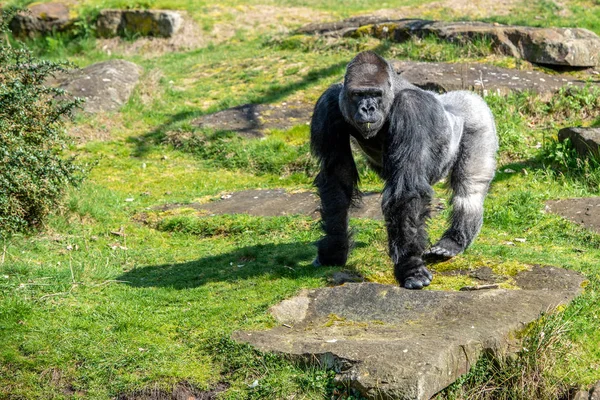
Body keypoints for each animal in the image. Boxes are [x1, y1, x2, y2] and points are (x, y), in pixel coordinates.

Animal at [310, 51, 496, 290]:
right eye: (358, 94)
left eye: (376, 94)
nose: (367, 108)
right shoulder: (329, 104)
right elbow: (337, 178)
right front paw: (334, 248)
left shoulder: (412, 108)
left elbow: (408, 188)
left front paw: (410, 267)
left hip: (477, 115)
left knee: (469, 187)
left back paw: (454, 240)